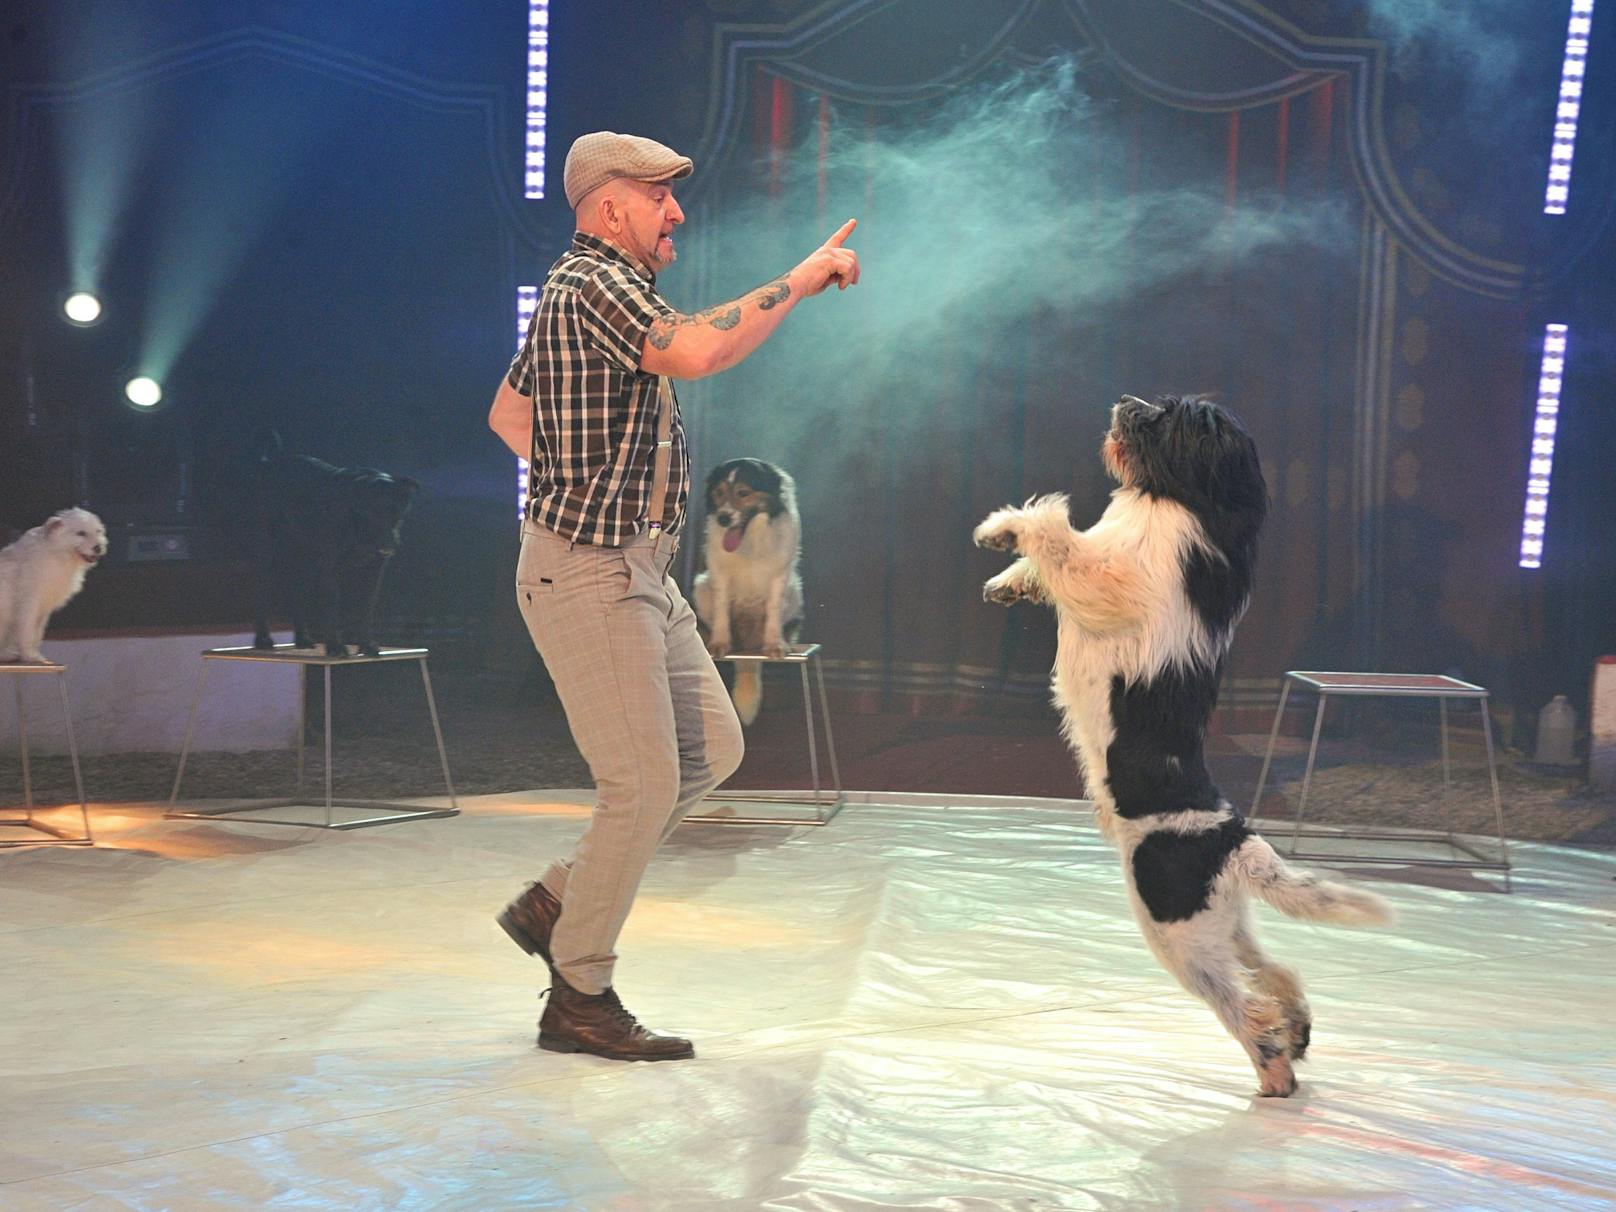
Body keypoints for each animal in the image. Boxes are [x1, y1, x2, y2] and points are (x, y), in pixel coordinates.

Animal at [0, 510, 107, 669]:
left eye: (98, 531)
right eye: (81, 533)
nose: (98, 547)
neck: (56, 552)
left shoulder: (43, 609)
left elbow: (37, 633)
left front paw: (34, 655)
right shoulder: (29, 604)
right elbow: (27, 632)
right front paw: (30, 656)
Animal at [248, 436, 416, 659]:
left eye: (397, 512)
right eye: (373, 512)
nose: (389, 543)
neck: (356, 522)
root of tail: (269, 463)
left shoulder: (374, 570)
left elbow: (366, 607)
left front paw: (367, 645)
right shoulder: (329, 567)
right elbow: (332, 605)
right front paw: (335, 647)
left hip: (306, 561)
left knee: (296, 595)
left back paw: (303, 639)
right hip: (267, 553)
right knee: (261, 594)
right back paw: (263, 640)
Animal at [691, 458, 804, 727]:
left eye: (743, 493)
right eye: (719, 492)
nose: (723, 518)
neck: (750, 536)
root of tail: (748, 646)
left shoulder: (780, 574)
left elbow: (773, 609)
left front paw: (775, 644)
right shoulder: (719, 572)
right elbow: (722, 609)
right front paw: (720, 642)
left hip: (795, 590)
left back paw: (786, 641)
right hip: (701, 585)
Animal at [969, 395, 1389, 1098]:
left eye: (1169, 417)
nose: (1125, 403)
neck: (1184, 498)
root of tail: (1234, 836)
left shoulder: (1113, 577)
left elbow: (1058, 537)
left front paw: (1001, 527)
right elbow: (1054, 556)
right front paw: (1010, 579)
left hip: (1176, 929)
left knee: (1243, 1003)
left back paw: (1274, 1069)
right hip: (1226, 919)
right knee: (1274, 970)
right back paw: (1298, 1031)